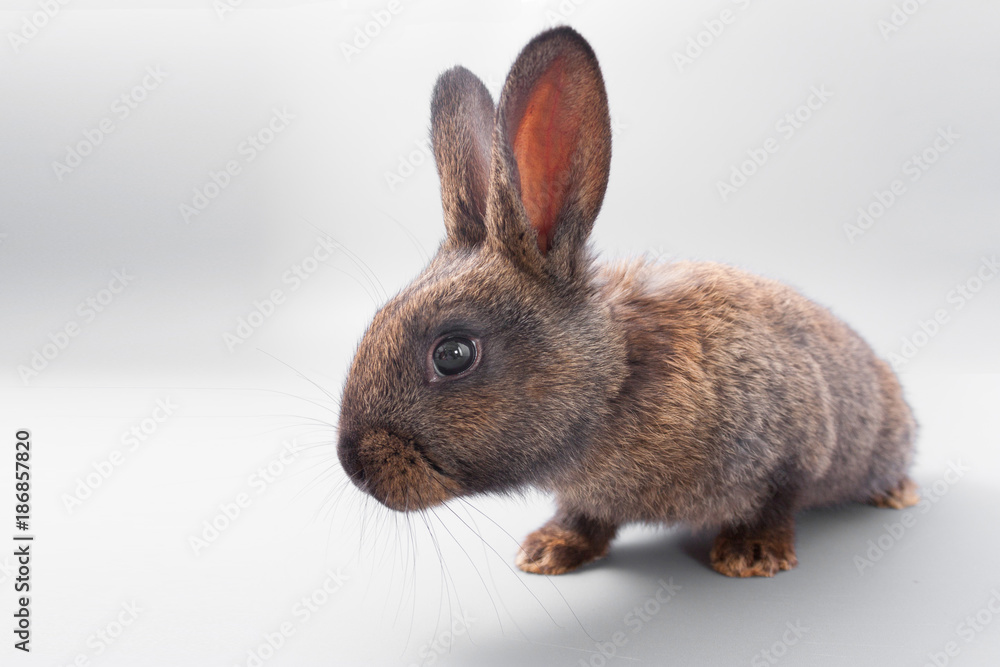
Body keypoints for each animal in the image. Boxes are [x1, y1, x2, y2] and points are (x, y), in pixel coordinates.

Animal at [336, 26, 918, 578]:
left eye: (453, 354)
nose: (352, 465)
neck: (613, 383)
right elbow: (585, 517)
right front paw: (548, 550)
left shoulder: (793, 443)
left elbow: (779, 498)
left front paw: (751, 556)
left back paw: (897, 493)